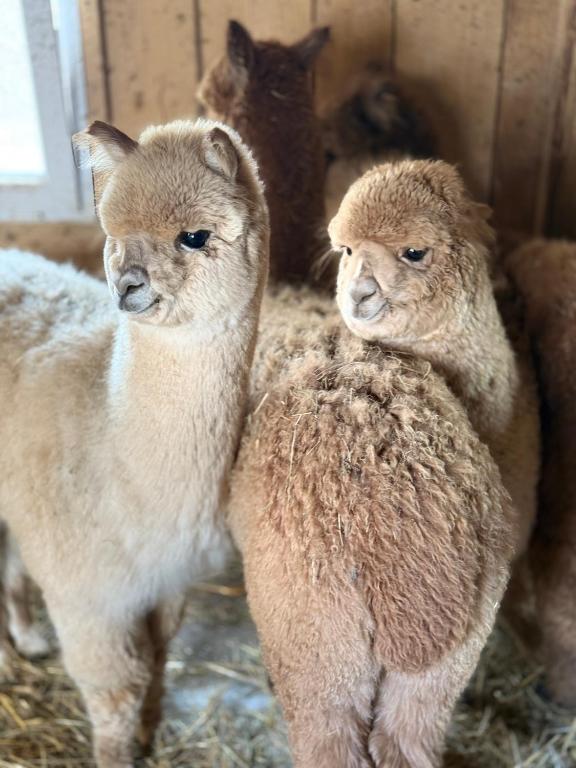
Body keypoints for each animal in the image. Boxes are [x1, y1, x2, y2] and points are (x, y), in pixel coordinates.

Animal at [0, 117, 269, 767]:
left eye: (194, 237)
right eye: (112, 235)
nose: (128, 288)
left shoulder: (164, 581)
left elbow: (157, 662)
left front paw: (150, 734)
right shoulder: (89, 596)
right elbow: (116, 695)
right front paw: (122, 749)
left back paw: (28, 637)